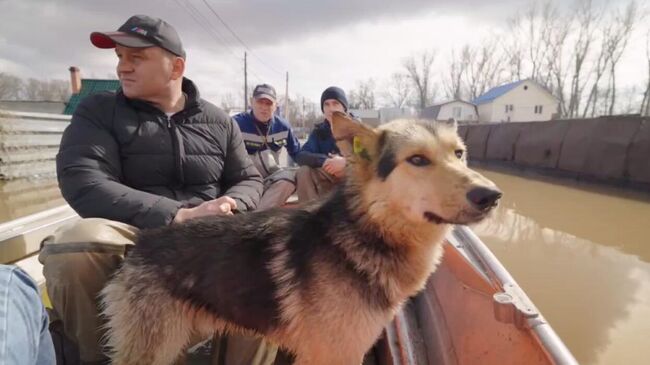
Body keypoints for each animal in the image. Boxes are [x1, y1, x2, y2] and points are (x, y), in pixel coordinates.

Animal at [100, 111, 502, 364]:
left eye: (460, 154)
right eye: (417, 160)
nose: (492, 196)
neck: (364, 232)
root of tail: (140, 244)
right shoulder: (334, 353)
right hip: (153, 348)